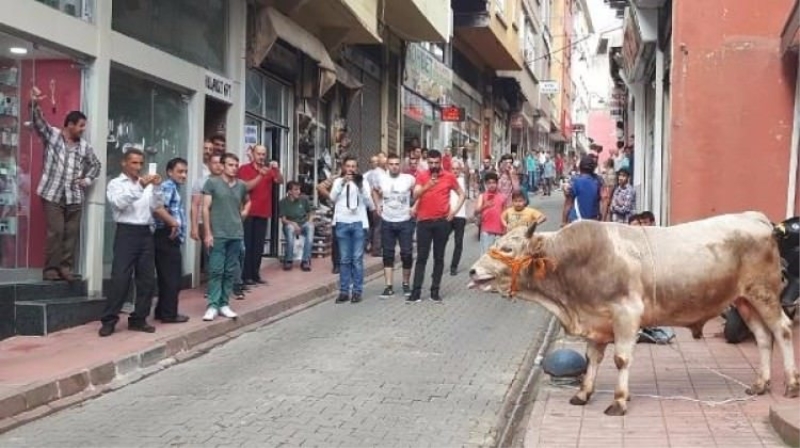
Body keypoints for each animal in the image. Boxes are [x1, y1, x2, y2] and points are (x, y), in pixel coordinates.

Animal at [468, 213, 800, 416]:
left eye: (508, 249)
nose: (472, 271)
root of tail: (755, 218)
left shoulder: (626, 314)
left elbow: (621, 359)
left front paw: (618, 401)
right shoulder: (597, 320)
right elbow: (593, 359)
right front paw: (583, 394)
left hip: (765, 294)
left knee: (782, 330)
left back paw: (791, 385)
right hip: (744, 300)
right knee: (763, 337)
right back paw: (760, 384)